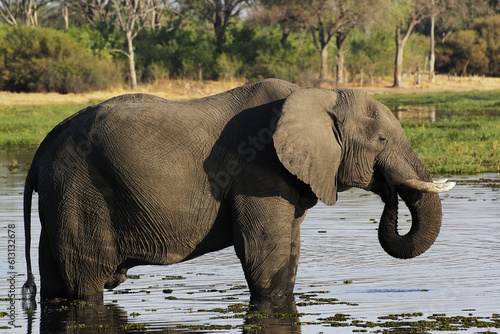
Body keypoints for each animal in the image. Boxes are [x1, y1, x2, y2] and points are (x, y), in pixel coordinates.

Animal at [22, 79, 454, 308]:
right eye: (381, 139)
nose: (389, 191)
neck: (316, 95)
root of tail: (43, 148)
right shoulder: (257, 170)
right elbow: (263, 248)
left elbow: (289, 247)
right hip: (82, 192)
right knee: (86, 278)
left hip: (63, 196)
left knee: (56, 279)